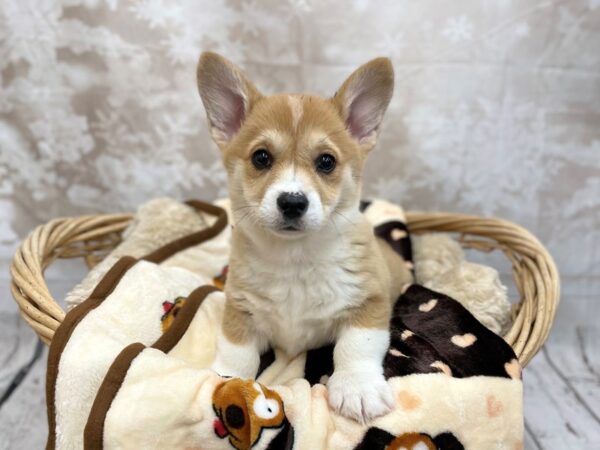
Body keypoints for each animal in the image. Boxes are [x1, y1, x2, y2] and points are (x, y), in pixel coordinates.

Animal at [197, 52, 412, 422]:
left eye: (326, 161)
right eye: (261, 157)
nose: (292, 202)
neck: (295, 258)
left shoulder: (368, 303)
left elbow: (357, 346)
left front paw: (358, 388)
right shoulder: (240, 309)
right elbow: (236, 352)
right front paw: (225, 380)